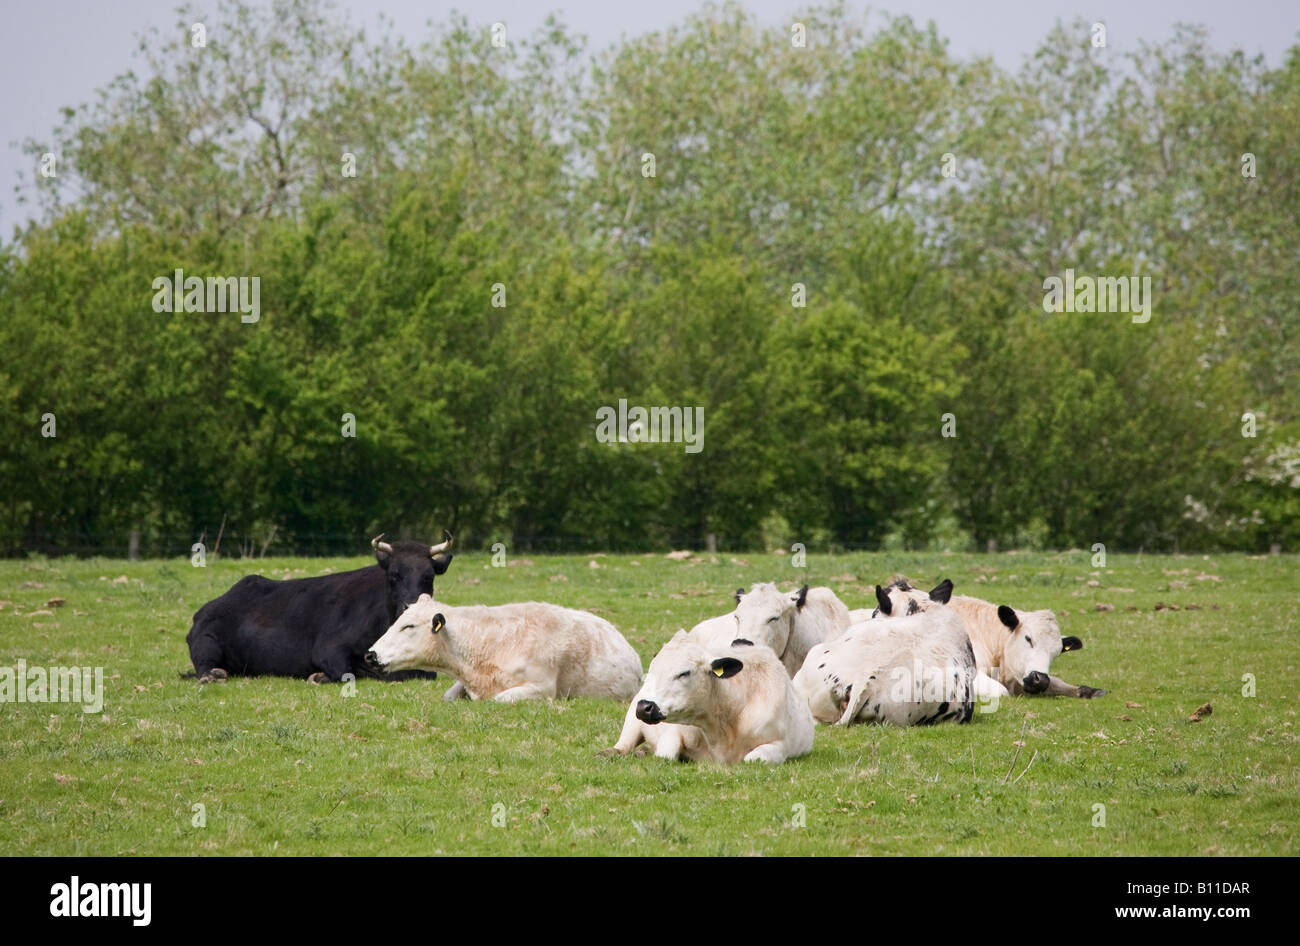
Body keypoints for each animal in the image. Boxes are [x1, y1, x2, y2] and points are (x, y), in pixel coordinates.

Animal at [185, 532, 452, 680]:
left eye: (428, 576)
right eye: (394, 575)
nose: (411, 606)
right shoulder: (328, 649)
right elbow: (348, 673)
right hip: (205, 642)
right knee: (203, 667)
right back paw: (212, 675)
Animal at [600, 631, 806, 764]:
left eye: (684, 673)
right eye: (652, 670)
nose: (644, 707)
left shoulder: (780, 745)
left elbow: (753, 759)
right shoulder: (673, 732)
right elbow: (665, 755)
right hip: (632, 722)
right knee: (624, 745)